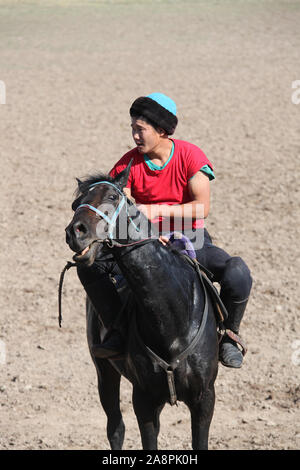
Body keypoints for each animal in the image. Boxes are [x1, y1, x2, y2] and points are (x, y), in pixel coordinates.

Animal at [65, 162, 218, 452]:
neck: (172, 321)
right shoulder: (144, 400)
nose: (75, 232)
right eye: (75, 204)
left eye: (113, 197)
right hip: (104, 371)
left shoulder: (204, 399)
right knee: (115, 428)